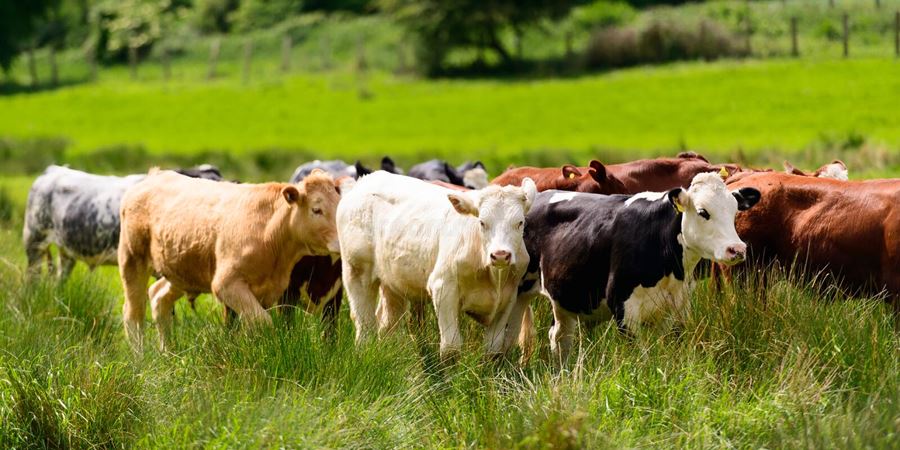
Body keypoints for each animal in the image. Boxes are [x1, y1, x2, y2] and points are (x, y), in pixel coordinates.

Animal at [118, 169, 342, 352]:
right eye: (316, 209)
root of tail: (155, 175)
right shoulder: (226, 283)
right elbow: (262, 321)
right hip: (132, 260)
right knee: (133, 313)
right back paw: (140, 358)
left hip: (182, 271)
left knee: (158, 296)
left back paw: (168, 352)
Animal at [336, 172, 536, 358]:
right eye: (482, 222)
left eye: (520, 222)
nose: (500, 255)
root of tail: (367, 179)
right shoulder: (443, 288)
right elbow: (451, 347)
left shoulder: (508, 298)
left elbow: (493, 349)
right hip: (356, 273)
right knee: (364, 326)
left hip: (393, 283)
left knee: (387, 325)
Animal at [516, 172, 764, 362]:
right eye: (703, 212)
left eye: (734, 211)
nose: (737, 249)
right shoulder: (623, 308)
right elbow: (642, 358)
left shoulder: (676, 308)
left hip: (564, 300)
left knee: (559, 337)